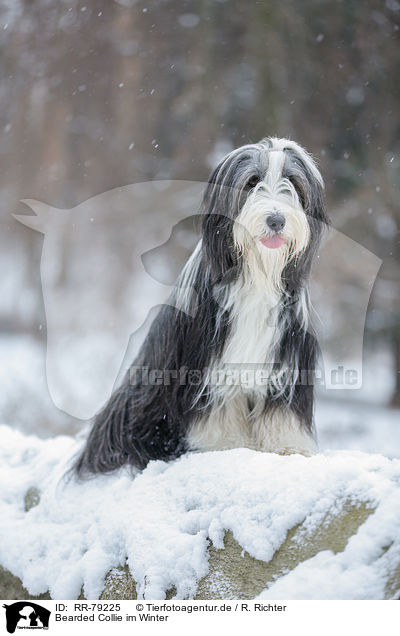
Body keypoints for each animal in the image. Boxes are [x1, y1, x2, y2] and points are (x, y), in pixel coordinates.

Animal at [74, 139, 328, 476]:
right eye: (251, 182)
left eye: (294, 184)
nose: (276, 220)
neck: (256, 274)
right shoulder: (206, 362)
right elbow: (217, 411)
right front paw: (226, 446)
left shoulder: (288, 355)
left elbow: (282, 409)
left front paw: (288, 446)